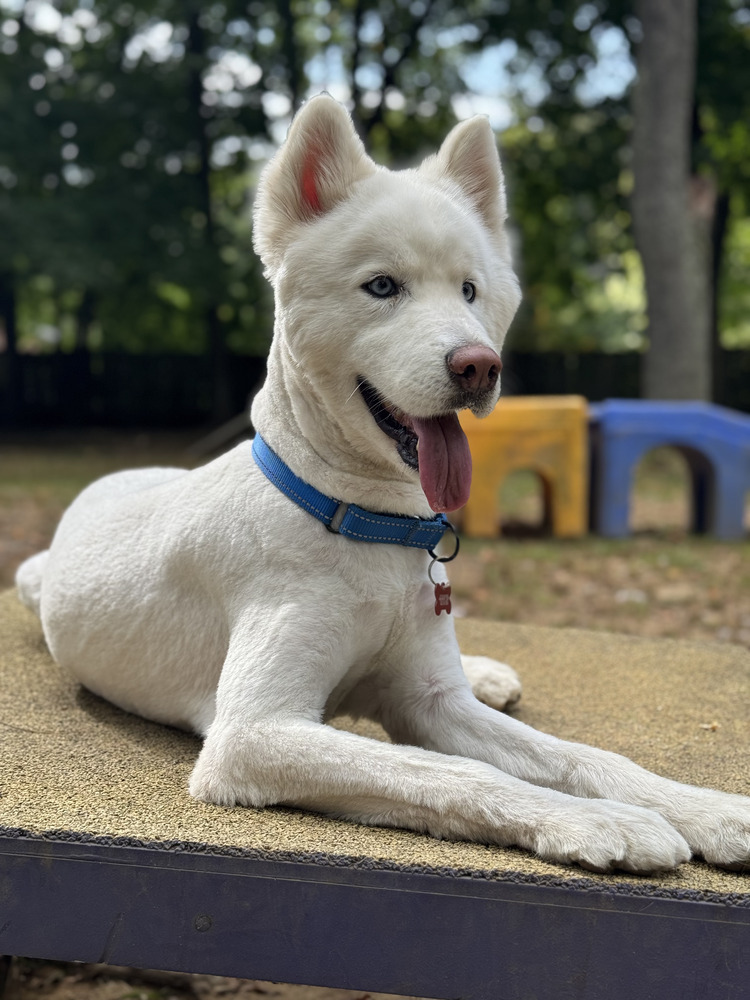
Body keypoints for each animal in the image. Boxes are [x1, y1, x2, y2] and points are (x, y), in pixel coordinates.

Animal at [16, 95, 750, 876]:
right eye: (381, 286)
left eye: (470, 290)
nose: (479, 366)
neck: (370, 525)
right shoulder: (256, 734)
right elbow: (455, 773)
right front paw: (604, 822)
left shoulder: (431, 702)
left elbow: (581, 755)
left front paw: (706, 808)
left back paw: (487, 673)